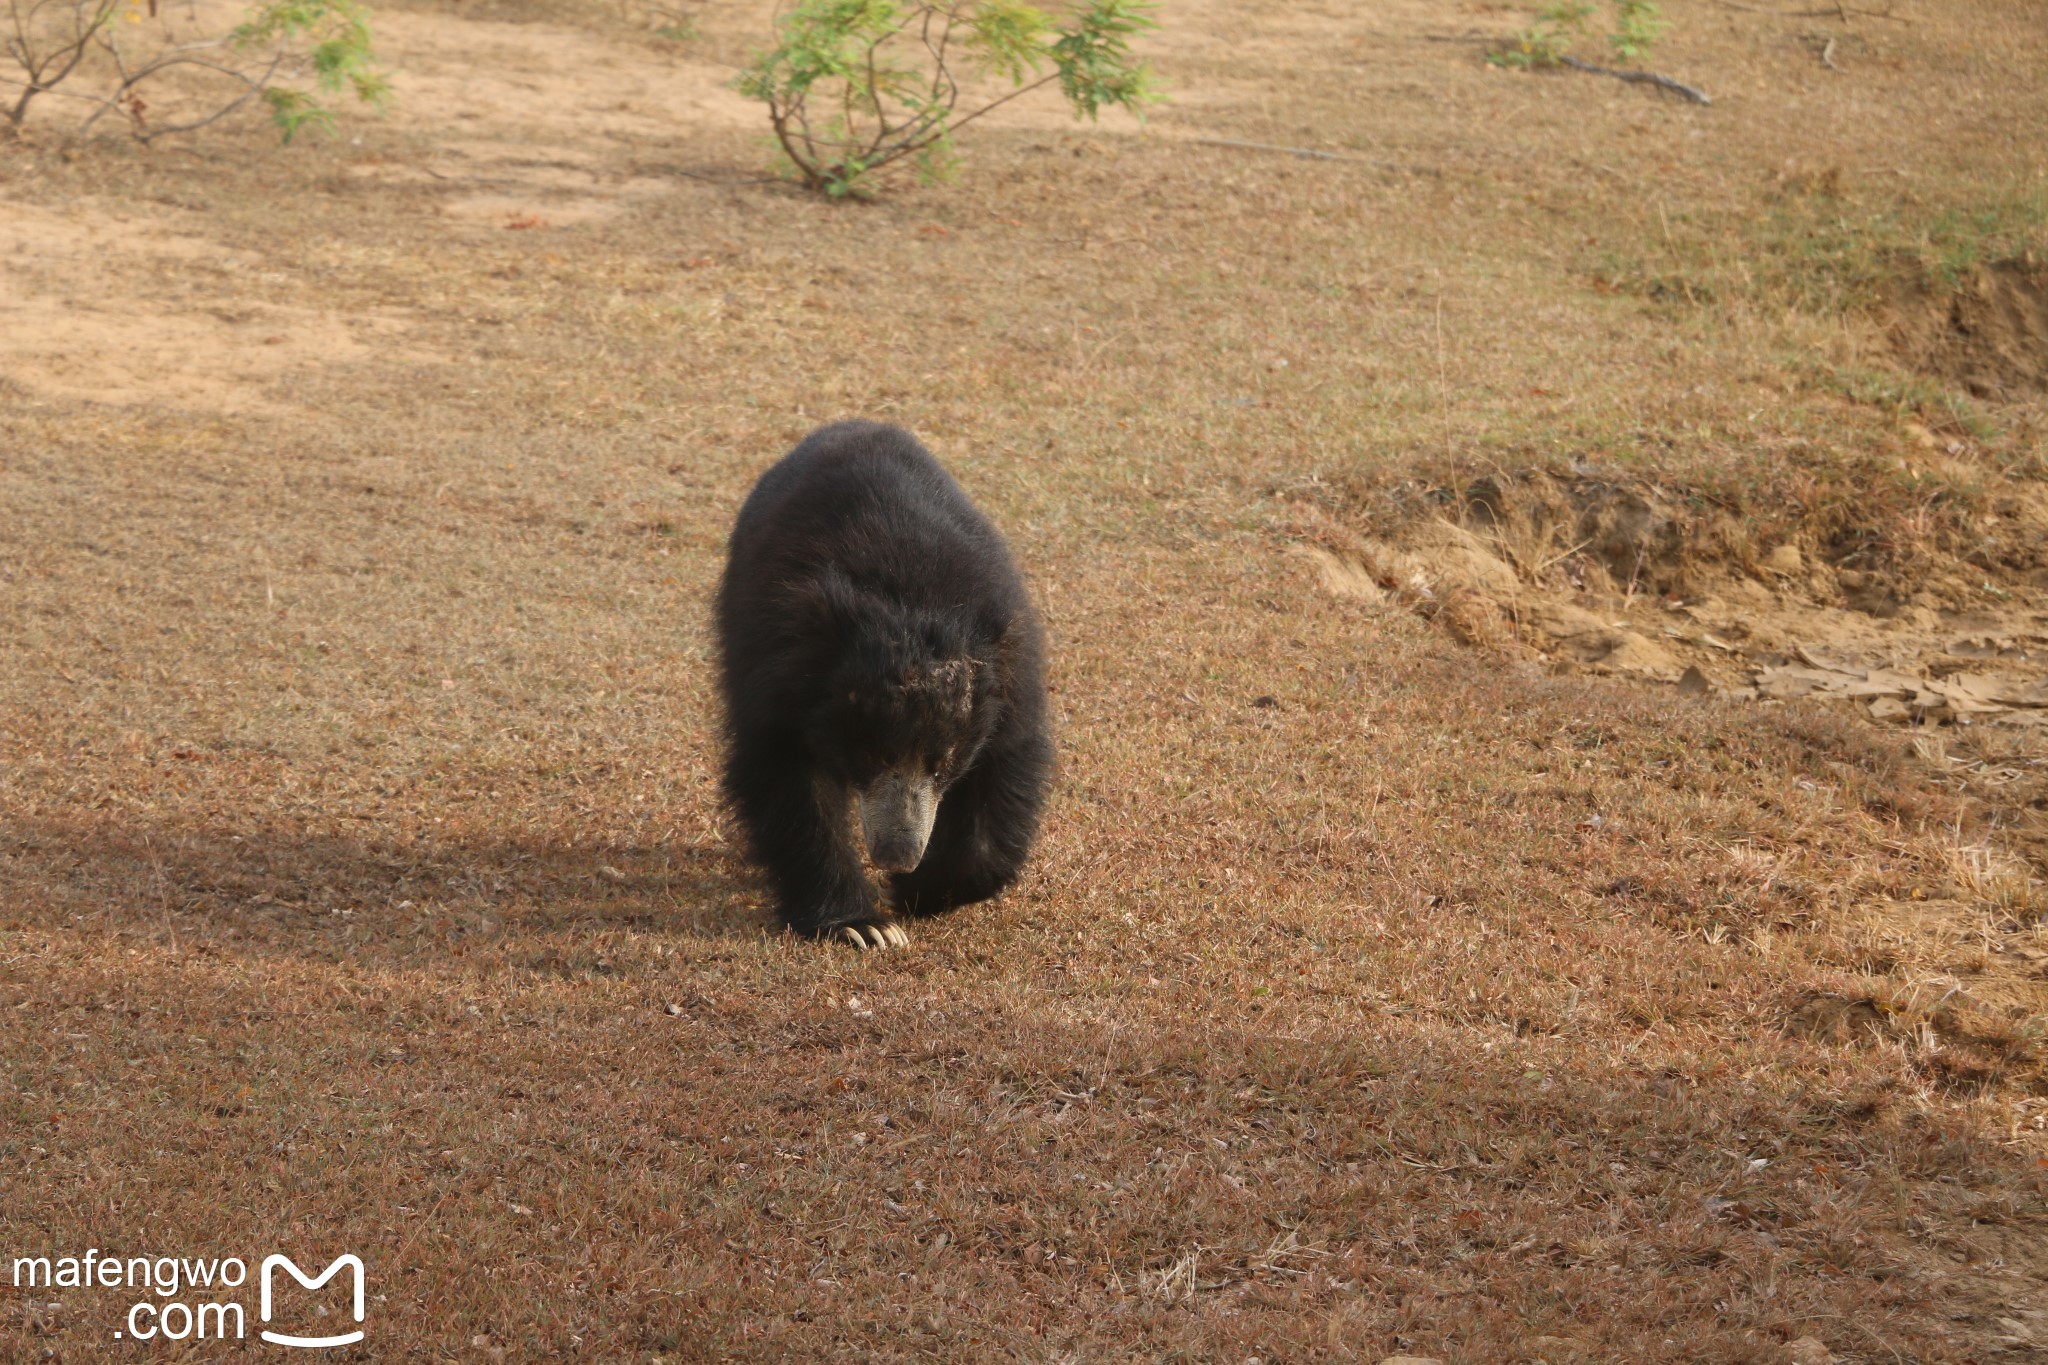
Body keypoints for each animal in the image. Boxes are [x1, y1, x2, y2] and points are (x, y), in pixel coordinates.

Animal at [712, 421, 1056, 945]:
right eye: (871, 755)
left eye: (944, 764)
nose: (898, 857)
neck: (908, 598)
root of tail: (852, 425)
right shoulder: (776, 668)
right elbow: (789, 782)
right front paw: (864, 927)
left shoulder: (1010, 670)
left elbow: (1006, 766)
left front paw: (917, 893)